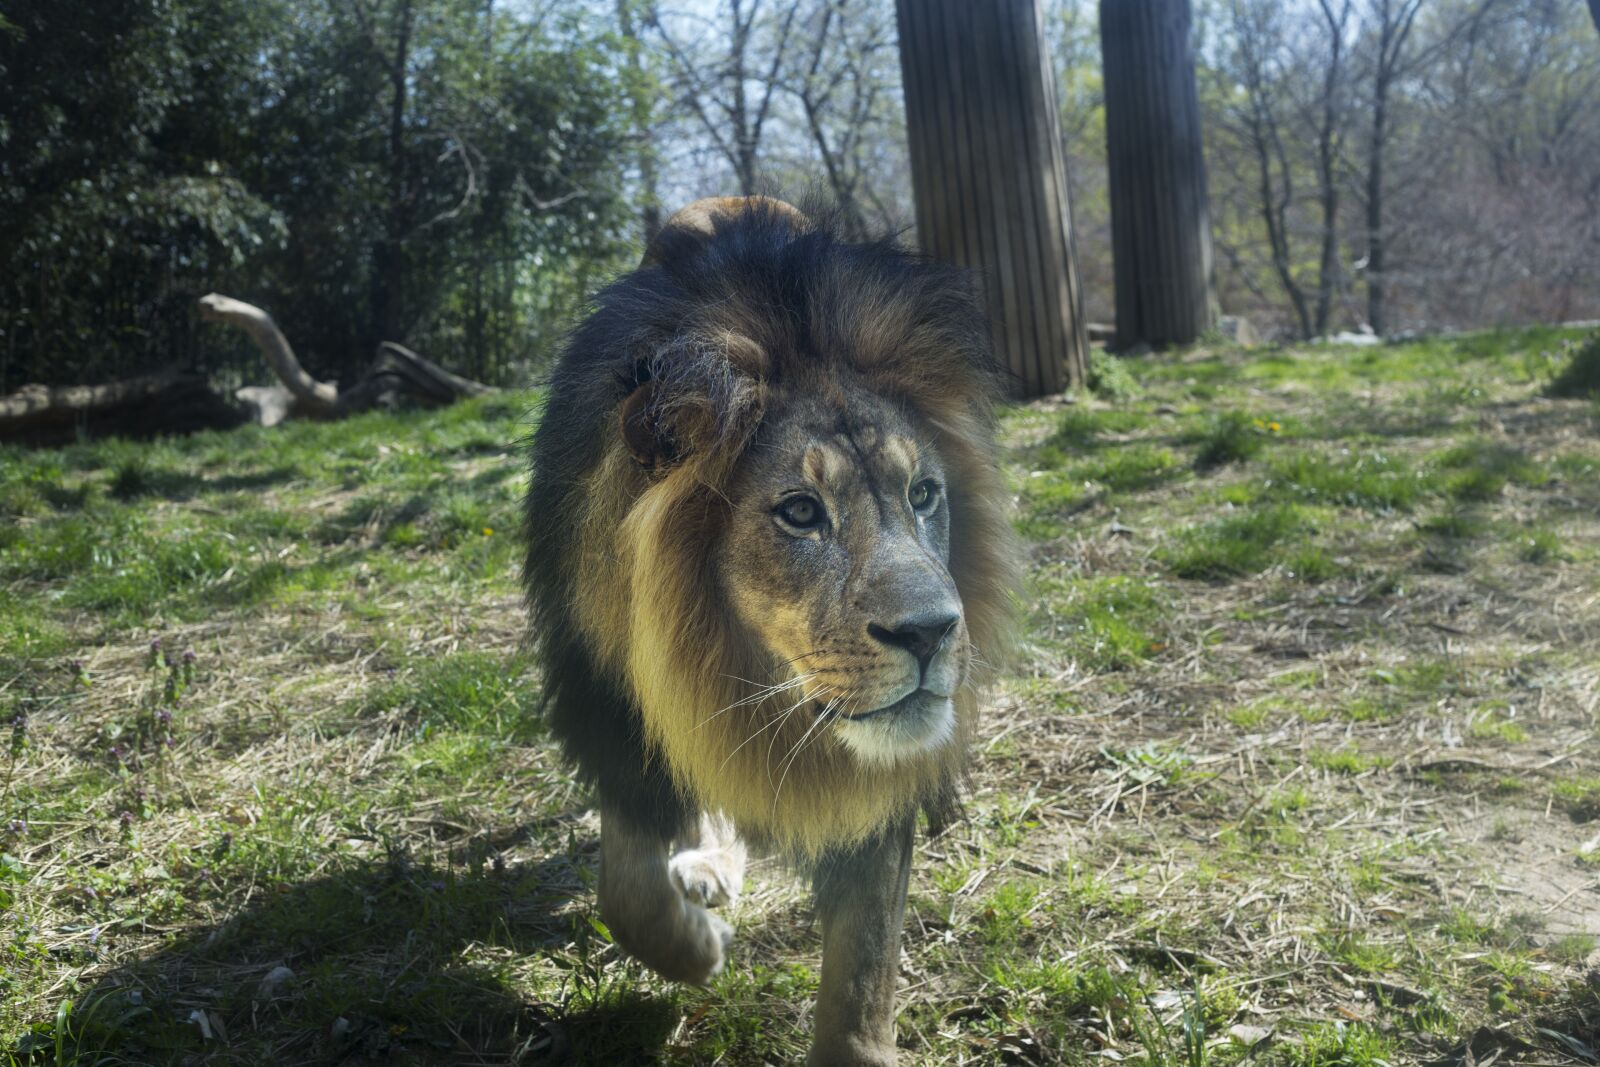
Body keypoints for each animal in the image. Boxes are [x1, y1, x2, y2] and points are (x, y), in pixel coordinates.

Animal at [523, 196, 1019, 1065]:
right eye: (799, 511)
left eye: (924, 493)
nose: (933, 632)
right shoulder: (615, 711)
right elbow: (628, 891)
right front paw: (699, 947)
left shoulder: (874, 798)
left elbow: (861, 972)